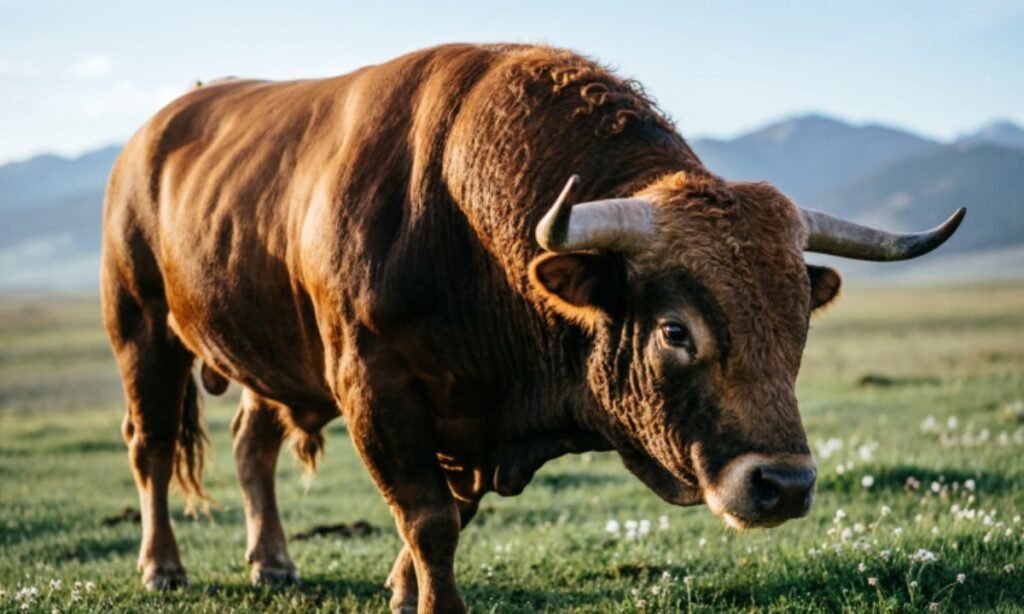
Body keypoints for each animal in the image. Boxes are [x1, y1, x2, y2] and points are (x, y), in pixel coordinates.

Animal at [100, 43, 964, 613]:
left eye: (796, 324)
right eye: (675, 331)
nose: (784, 485)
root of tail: (152, 134)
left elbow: (444, 517)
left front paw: (401, 591)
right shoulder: (375, 387)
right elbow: (429, 519)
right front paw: (434, 604)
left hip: (267, 358)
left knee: (253, 443)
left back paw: (273, 563)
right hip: (142, 330)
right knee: (150, 448)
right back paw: (162, 567)